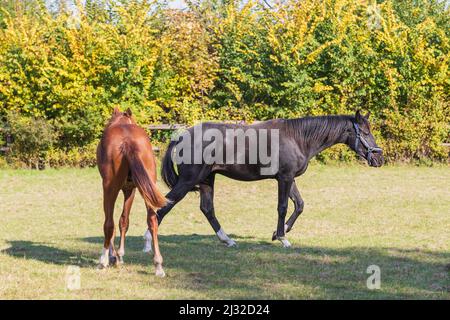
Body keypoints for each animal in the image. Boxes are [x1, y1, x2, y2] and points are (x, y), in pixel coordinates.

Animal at [96, 107, 167, 278]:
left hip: (109, 188)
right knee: (152, 220)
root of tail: (128, 141)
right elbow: (124, 221)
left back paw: (103, 260)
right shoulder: (131, 190)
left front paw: (114, 256)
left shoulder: (122, 189)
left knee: (108, 223)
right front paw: (120, 255)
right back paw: (158, 265)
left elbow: (114, 223)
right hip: (148, 189)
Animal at [147, 111, 384, 249]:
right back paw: (149, 244)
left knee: (207, 209)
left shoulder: (289, 179)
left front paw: (277, 233)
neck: (298, 138)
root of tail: (182, 136)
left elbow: (299, 205)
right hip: (188, 181)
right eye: (364, 132)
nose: (379, 158)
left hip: (207, 180)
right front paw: (282, 238)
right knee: (163, 206)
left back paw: (227, 240)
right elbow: (283, 207)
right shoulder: (284, 178)